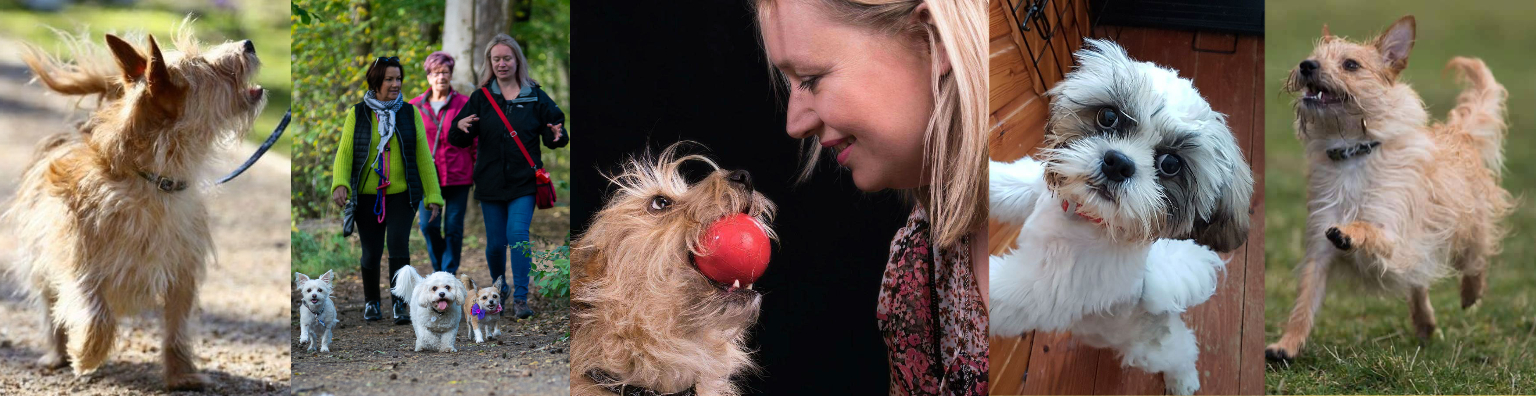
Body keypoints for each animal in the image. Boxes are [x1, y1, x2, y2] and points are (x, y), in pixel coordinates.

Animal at [989, 38, 1253, 392]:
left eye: (1170, 164)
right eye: (1109, 116)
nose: (1118, 163)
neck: (1085, 217)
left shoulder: (1039, 288)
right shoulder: (1034, 192)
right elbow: (1007, 184)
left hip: (1150, 348)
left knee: (1182, 348)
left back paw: (1183, 380)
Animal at [1259, 15, 1511, 362]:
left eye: (1351, 64)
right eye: (1313, 57)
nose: (1306, 65)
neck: (1352, 152)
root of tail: (1459, 133)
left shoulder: (1394, 233)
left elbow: (1367, 227)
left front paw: (1349, 233)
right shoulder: (1318, 250)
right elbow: (1304, 303)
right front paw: (1287, 345)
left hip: (1466, 230)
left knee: (1477, 258)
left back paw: (1471, 292)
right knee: (1418, 281)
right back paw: (1424, 321)